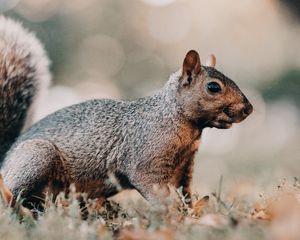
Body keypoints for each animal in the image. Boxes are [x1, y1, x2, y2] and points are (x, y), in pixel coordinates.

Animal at [0, 16, 253, 210]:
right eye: (213, 87)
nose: (248, 108)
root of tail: (5, 158)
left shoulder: (185, 167)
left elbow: (186, 192)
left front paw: (191, 213)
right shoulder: (147, 160)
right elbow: (154, 188)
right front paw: (172, 214)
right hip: (37, 157)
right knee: (12, 193)